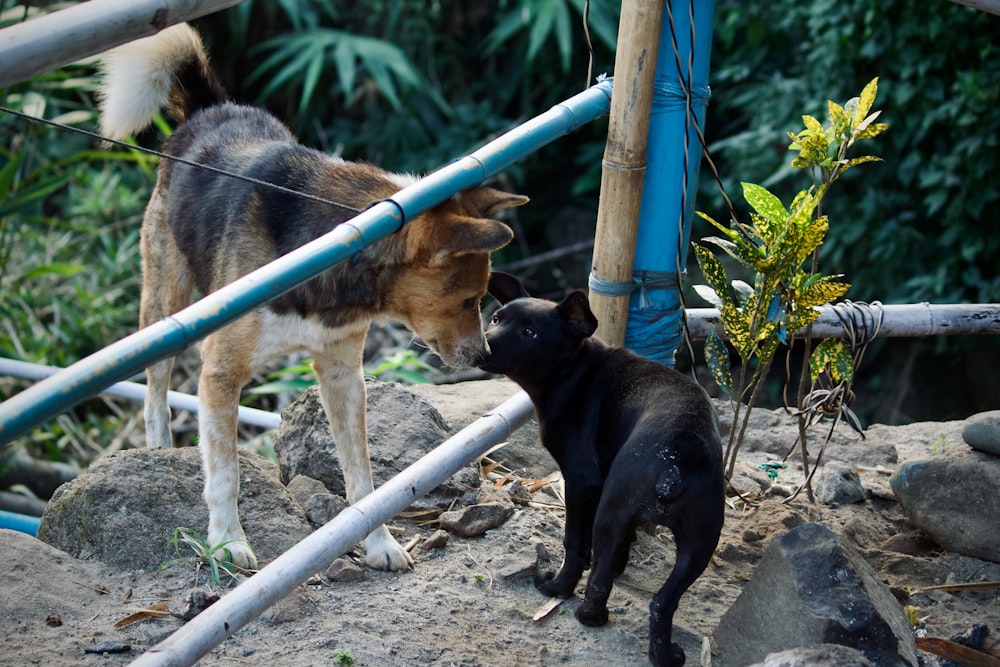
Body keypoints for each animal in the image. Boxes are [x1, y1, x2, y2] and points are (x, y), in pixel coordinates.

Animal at [97, 23, 528, 572]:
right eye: (469, 300)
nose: (483, 355)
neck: (338, 246)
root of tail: (211, 107)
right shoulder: (220, 374)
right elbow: (225, 475)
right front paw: (227, 542)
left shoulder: (344, 375)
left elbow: (363, 478)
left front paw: (378, 542)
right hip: (166, 300)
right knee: (156, 391)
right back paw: (157, 450)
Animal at [478, 274, 724, 664]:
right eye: (497, 318)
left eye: (530, 333)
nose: (480, 347)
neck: (574, 371)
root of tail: (675, 459)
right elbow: (623, 545)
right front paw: (623, 562)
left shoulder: (581, 482)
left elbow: (575, 543)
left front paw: (560, 584)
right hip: (701, 540)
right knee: (662, 603)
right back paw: (664, 655)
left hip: (611, 511)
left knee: (598, 580)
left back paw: (581, 611)